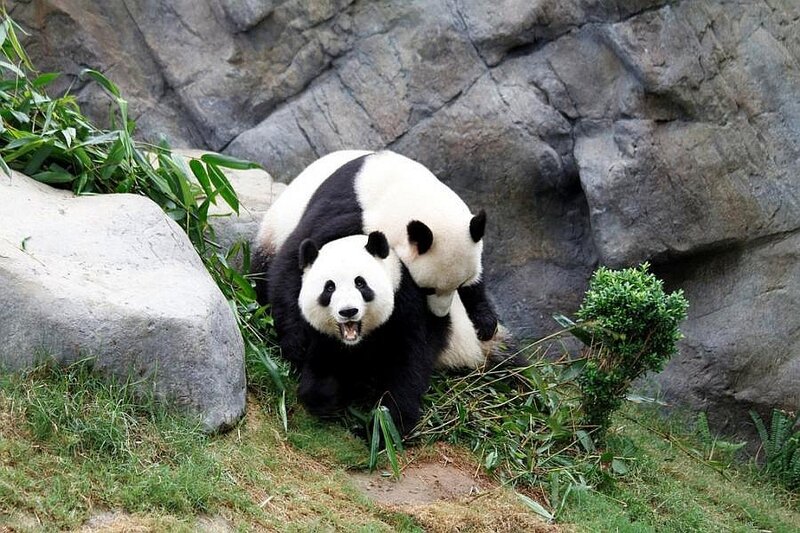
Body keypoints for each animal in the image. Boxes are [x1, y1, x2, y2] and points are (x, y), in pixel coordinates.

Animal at [252, 150, 499, 341]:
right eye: (427, 289)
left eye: (460, 285)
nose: (439, 313)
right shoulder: (350, 210)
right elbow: (295, 257)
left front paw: (485, 323)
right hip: (273, 230)